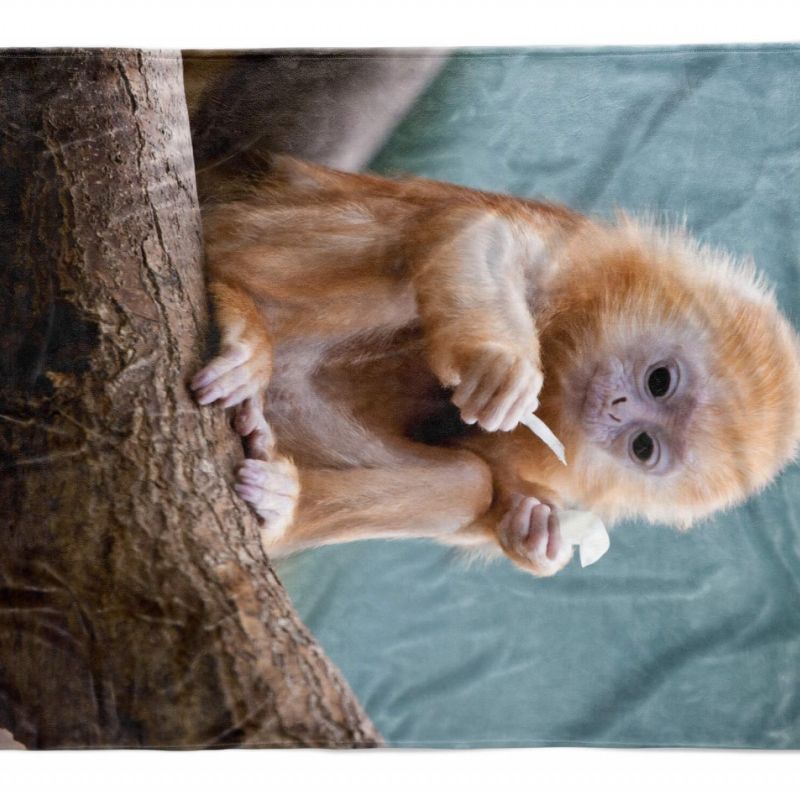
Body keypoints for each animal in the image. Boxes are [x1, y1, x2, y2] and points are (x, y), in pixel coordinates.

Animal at [192, 158, 800, 576]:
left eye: (643, 447)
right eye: (659, 381)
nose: (616, 407)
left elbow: (493, 485)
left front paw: (533, 532)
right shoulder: (576, 253)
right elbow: (480, 232)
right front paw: (503, 367)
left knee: (467, 481)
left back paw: (281, 507)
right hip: (256, 245)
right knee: (417, 243)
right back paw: (241, 316)